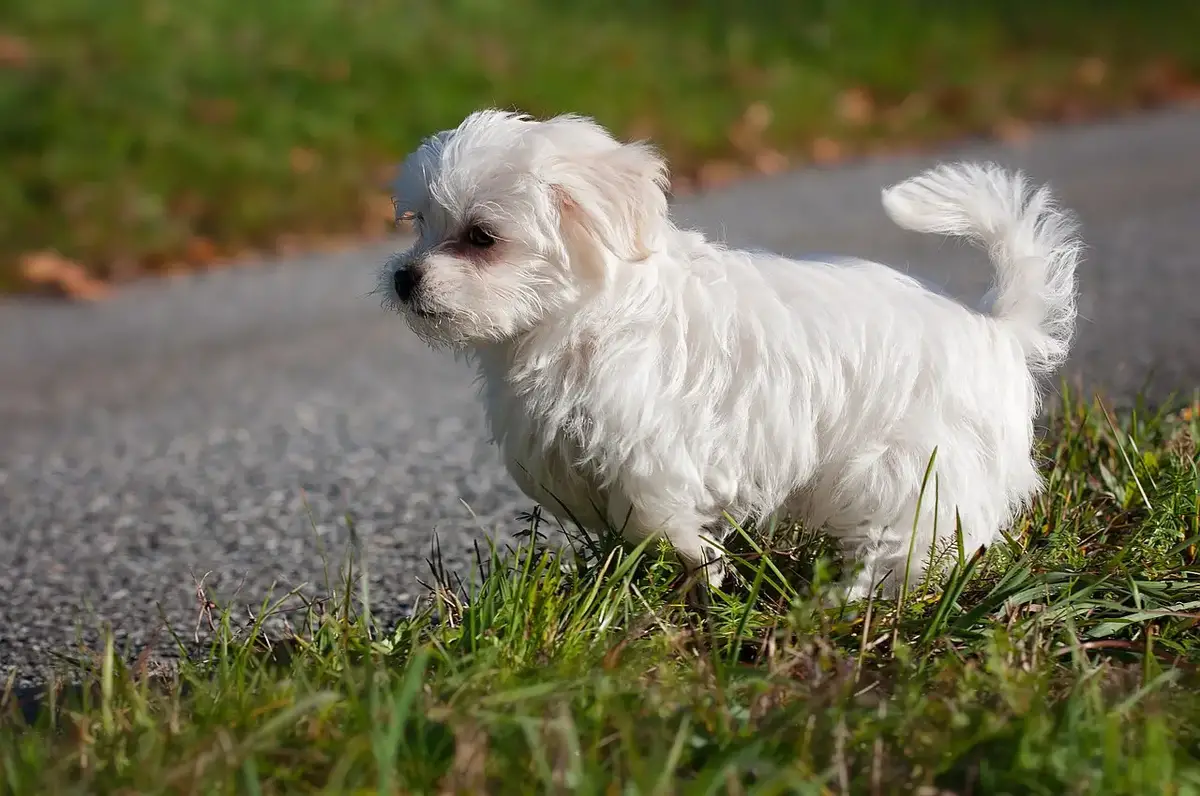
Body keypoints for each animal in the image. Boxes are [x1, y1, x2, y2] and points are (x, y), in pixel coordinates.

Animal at [379, 109, 1084, 600]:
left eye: (482, 237)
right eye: (419, 225)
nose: (404, 278)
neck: (581, 318)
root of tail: (994, 327)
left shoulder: (651, 451)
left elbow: (663, 520)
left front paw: (704, 574)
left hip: (912, 466)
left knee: (913, 545)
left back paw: (845, 601)